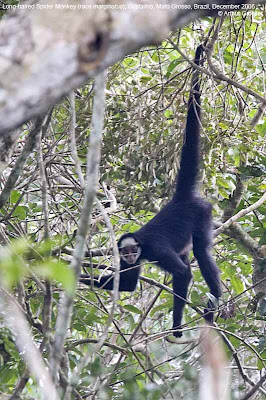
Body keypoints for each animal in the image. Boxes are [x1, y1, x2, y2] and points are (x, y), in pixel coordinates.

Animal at [80, 45, 222, 336]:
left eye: (132, 251)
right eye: (124, 253)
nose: (130, 255)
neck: (141, 245)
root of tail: (180, 199)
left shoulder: (155, 249)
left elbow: (183, 274)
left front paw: (176, 327)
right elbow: (127, 286)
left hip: (202, 214)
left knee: (201, 253)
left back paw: (215, 299)